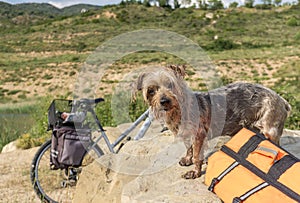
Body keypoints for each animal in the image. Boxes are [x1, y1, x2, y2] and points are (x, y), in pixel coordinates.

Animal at [133, 65, 290, 179]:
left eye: (170, 85)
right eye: (151, 91)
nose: (164, 101)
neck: (179, 111)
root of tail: (282, 101)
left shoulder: (199, 135)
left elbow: (197, 156)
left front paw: (195, 173)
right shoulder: (185, 135)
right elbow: (188, 149)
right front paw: (187, 159)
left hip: (270, 130)